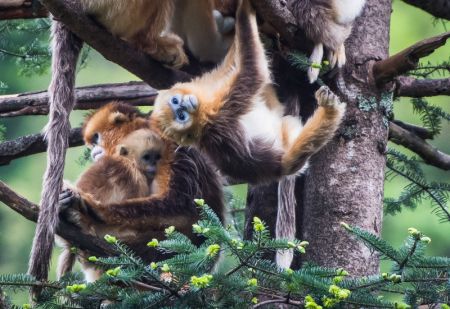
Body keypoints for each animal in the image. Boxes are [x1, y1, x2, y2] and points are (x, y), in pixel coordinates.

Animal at [56, 102, 225, 280]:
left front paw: (96, 209)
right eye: (93, 142)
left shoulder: (170, 144)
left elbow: (183, 206)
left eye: (96, 138)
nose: (94, 152)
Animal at [153, 0, 346, 268]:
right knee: (297, 150)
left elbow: (234, 63)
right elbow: (252, 72)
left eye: (175, 104)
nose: (183, 107)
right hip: (288, 154)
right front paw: (245, 11)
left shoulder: (209, 84)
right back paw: (329, 112)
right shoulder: (219, 111)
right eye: (179, 117)